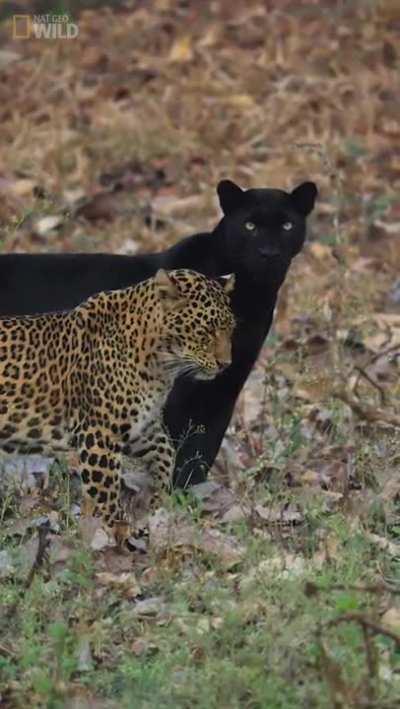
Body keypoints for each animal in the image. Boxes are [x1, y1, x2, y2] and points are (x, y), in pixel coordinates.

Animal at [0, 268, 234, 532]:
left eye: (231, 330)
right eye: (206, 331)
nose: (226, 364)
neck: (161, 365)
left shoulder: (138, 427)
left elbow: (166, 450)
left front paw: (156, 500)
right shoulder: (99, 435)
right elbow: (106, 492)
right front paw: (119, 529)